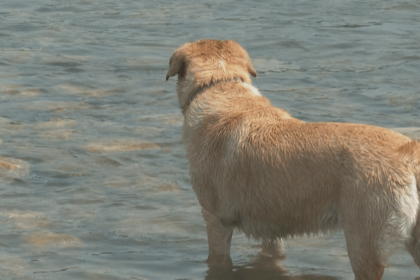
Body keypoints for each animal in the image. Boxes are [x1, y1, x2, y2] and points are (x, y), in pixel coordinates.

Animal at [166, 40, 420, 280]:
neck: (221, 84)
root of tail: (408, 154)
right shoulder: (270, 227)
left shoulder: (216, 219)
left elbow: (217, 261)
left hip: (363, 247)